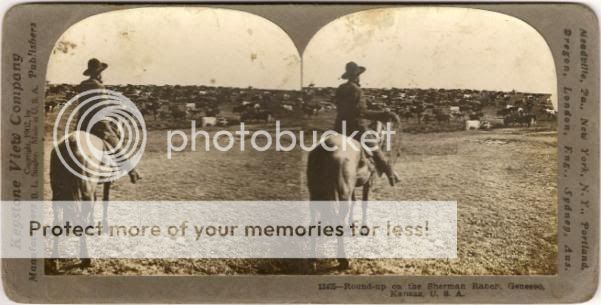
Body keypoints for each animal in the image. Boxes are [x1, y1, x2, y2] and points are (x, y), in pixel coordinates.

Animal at [48, 130, 112, 270]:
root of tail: (71, 142)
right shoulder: (107, 182)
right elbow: (105, 200)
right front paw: (104, 225)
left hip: (57, 192)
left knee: (57, 219)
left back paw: (54, 259)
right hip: (85, 189)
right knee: (82, 217)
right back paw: (86, 259)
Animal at [308, 113, 400, 270]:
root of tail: (324, 150)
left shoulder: (353, 187)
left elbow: (355, 202)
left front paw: (352, 225)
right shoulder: (369, 181)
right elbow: (364, 203)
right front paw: (364, 228)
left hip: (316, 194)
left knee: (314, 220)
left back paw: (313, 260)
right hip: (341, 193)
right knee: (337, 220)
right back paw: (343, 260)